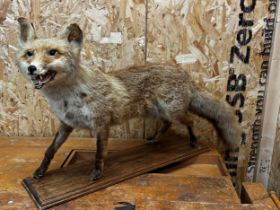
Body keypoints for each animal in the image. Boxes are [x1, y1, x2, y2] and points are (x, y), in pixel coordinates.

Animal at [16, 17, 242, 180]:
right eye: (29, 53)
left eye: (52, 52)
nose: (32, 68)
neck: (65, 99)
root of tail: (183, 73)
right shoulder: (66, 124)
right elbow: (49, 151)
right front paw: (40, 171)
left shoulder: (101, 123)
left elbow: (99, 154)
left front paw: (97, 174)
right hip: (159, 111)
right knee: (167, 124)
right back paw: (154, 139)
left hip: (173, 111)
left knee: (190, 121)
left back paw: (193, 142)